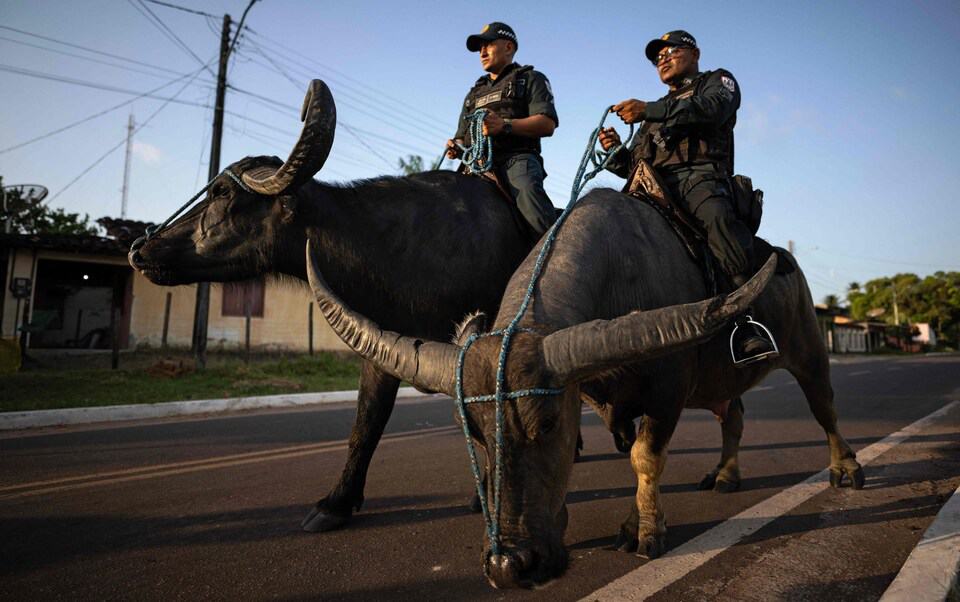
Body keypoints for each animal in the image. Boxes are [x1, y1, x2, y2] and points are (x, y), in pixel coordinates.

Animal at [306, 190, 864, 588]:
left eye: (548, 423)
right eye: (478, 436)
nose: (509, 565)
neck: (623, 271)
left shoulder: (667, 394)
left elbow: (644, 458)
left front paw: (645, 531)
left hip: (808, 349)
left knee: (825, 406)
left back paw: (846, 469)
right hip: (724, 381)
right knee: (735, 414)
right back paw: (726, 475)